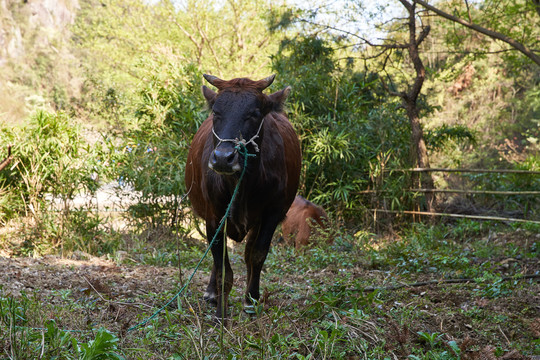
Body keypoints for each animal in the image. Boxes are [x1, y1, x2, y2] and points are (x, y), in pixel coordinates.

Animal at [184, 74, 298, 320]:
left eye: (254, 113)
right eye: (216, 112)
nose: (222, 158)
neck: (242, 184)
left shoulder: (272, 214)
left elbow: (256, 255)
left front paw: (251, 301)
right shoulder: (213, 217)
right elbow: (222, 267)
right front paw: (220, 313)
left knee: (247, 254)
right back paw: (211, 293)